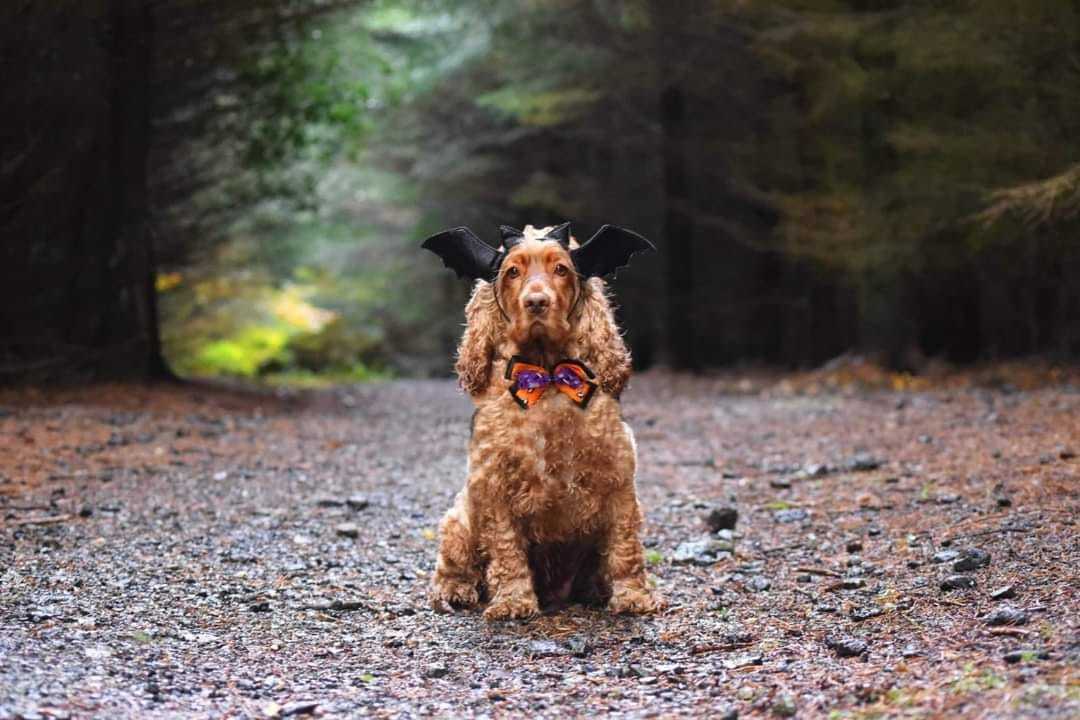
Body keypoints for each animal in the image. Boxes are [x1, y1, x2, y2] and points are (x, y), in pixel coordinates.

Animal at [419, 221, 656, 621]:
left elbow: (626, 547)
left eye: (560, 269)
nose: (536, 302)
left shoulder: (618, 480)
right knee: (454, 565)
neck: (547, 377)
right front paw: (514, 601)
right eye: (512, 272)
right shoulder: (494, 486)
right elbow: (506, 550)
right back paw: (454, 591)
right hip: (459, 520)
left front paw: (633, 596)